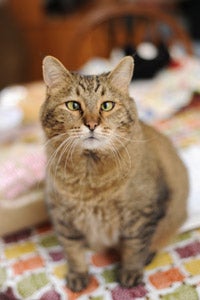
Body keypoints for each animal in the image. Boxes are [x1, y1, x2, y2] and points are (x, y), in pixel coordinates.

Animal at [39, 55, 188, 290]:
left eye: (107, 105)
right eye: (73, 105)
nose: (91, 124)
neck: (90, 173)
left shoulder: (142, 215)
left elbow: (135, 248)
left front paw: (130, 272)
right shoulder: (62, 216)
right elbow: (72, 250)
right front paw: (78, 274)